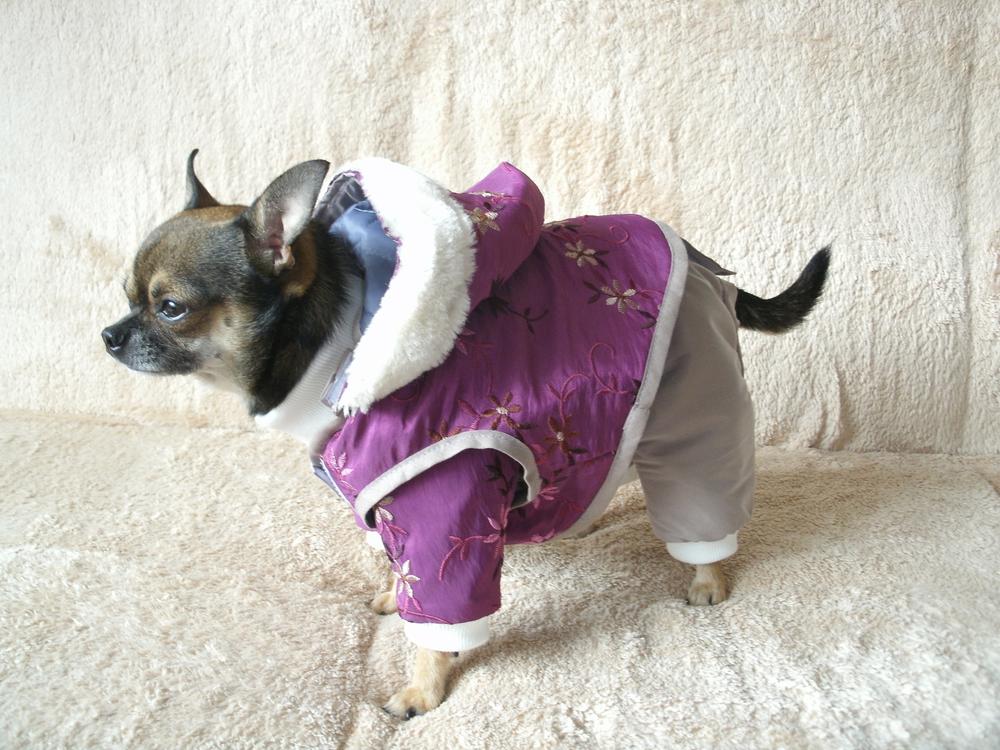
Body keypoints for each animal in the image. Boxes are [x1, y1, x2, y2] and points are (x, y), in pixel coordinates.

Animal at [103, 152, 829, 717]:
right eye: (126, 294)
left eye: (171, 307)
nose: (109, 334)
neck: (338, 350)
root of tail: (707, 270)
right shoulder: (386, 500)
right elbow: (400, 571)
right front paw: (395, 597)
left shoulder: (441, 505)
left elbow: (440, 619)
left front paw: (423, 691)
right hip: (627, 400)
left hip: (695, 402)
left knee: (700, 496)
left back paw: (706, 576)